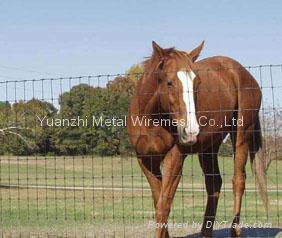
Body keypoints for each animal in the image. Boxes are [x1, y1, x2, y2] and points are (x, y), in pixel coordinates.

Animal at [126, 41, 268, 237]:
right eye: (169, 83)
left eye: (197, 83)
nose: (191, 131)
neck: (151, 119)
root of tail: (245, 74)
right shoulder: (146, 160)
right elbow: (158, 202)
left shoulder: (175, 159)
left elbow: (163, 206)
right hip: (209, 148)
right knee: (214, 183)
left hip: (241, 136)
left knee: (238, 181)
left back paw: (235, 231)